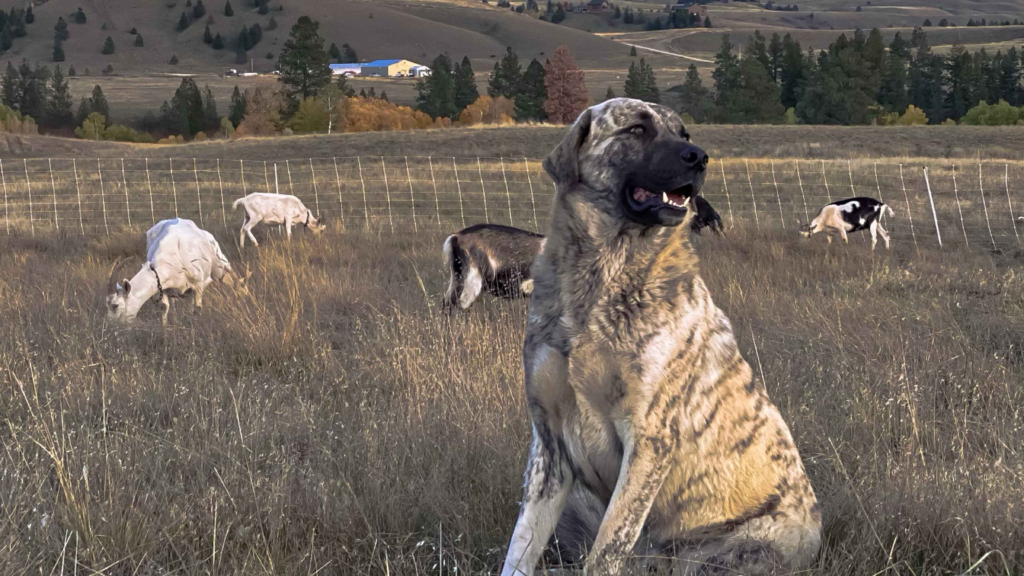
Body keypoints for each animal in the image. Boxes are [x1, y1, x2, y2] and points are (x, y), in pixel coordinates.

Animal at [104, 217, 249, 323]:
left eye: (115, 305)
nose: (112, 326)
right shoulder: (163, 288)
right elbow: (164, 308)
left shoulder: (198, 285)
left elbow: (197, 308)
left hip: (218, 262)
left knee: (228, 278)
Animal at [499, 99, 819, 573]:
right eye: (636, 129)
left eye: (684, 134)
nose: (700, 158)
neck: (602, 277)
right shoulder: (549, 442)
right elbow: (521, 546)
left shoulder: (649, 436)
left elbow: (609, 545)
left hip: (739, 547)